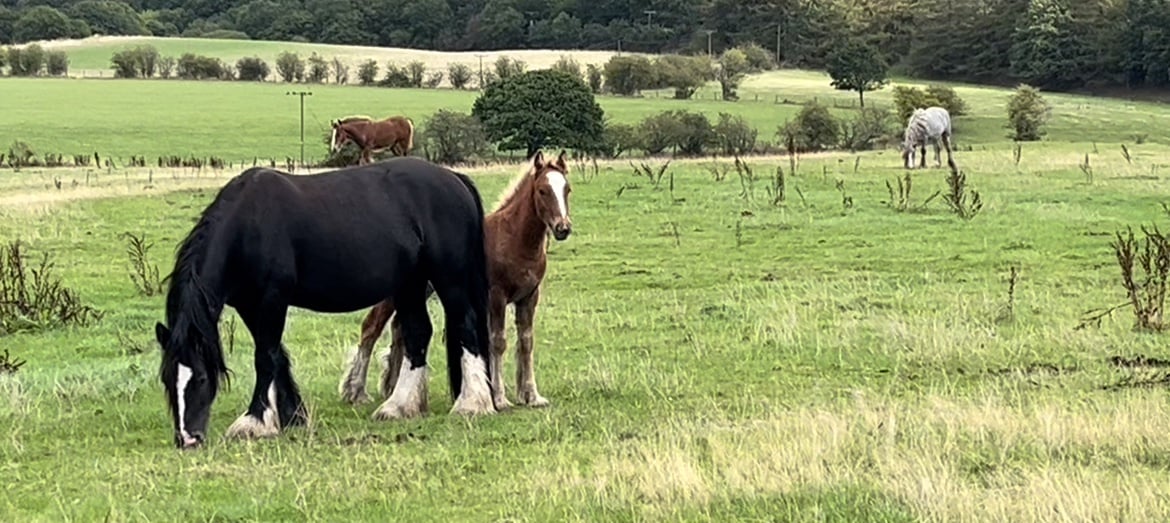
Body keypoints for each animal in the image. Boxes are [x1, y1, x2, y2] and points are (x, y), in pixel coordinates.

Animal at [154, 156, 496, 449]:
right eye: (167, 379)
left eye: (200, 377)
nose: (188, 439)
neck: (248, 226)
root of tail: (454, 178)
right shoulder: (250, 305)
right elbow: (278, 355)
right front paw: (293, 416)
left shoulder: (272, 298)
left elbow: (264, 357)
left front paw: (254, 422)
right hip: (410, 282)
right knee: (417, 334)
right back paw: (398, 407)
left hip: (449, 277)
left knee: (465, 326)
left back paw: (472, 404)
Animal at [338, 150, 573, 411]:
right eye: (542, 190)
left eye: (567, 189)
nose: (563, 228)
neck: (513, 238)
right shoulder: (497, 297)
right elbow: (498, 342)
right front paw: (499, 398)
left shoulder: (529, 297)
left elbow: (526, 342)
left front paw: (532, 396)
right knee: (371, 327)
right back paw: (356, 391)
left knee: (398, 328)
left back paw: (392, 389)